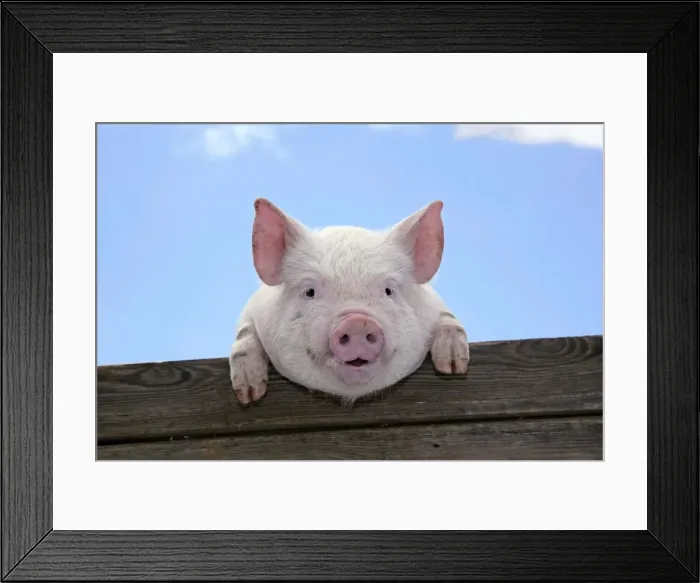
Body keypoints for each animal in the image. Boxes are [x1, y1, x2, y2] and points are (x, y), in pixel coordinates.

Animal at [229, 198, 470, 406]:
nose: (358, 322)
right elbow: (244, 334)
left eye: (388, 290)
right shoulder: (252, 308)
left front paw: (452, 366)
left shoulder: (436, 303)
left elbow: (448, 318)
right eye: (309, 291)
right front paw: (250, 395)